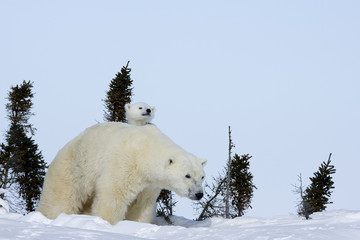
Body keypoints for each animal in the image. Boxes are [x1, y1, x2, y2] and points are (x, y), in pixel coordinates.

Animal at [37, 122, 207, 225]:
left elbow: (141, 205)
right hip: (73, 168)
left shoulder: (149, 185)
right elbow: (113, 197)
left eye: (202, 176)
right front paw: (108, 224)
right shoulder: (124, 164)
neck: (146, 150)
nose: (199, 194)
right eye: (187, 175)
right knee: (61, 198)